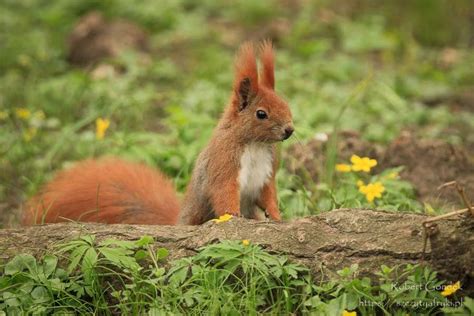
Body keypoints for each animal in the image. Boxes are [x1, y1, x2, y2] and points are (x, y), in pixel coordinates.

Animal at [25, 40, 296, 226]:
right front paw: (234, 217)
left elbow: (268, 196)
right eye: (261, 114)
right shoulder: (223, 164)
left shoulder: (266, 174)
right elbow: (223, 194)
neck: (255, 144)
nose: (289, 130)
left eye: (285, 102)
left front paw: (277, 217)